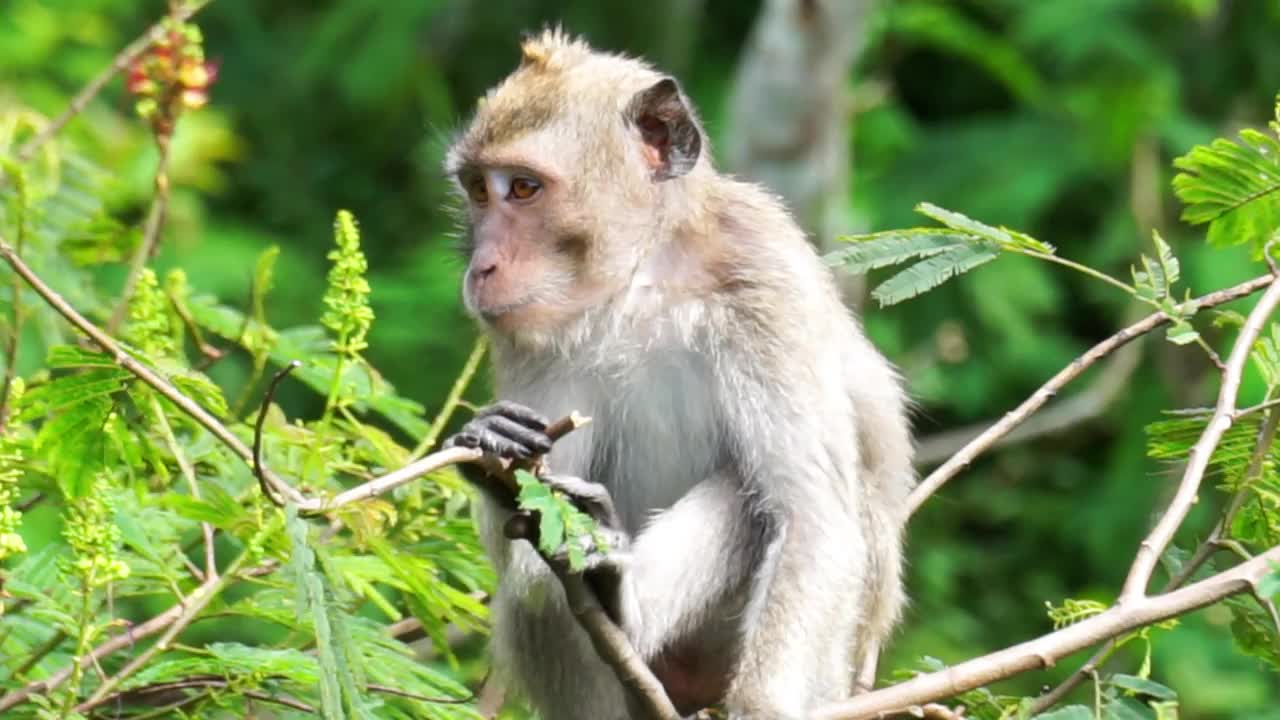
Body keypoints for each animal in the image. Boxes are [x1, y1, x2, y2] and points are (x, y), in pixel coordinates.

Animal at [445, 26, 916, 717]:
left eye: (525, 188)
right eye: (479, 190)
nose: (482, 267)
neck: (646, 279)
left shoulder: (763, 276)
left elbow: (813, 519)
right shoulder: (527, 335)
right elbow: (529, 517)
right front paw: (494, 445)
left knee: (748, 495)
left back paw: (622, 600)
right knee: (535, 591)